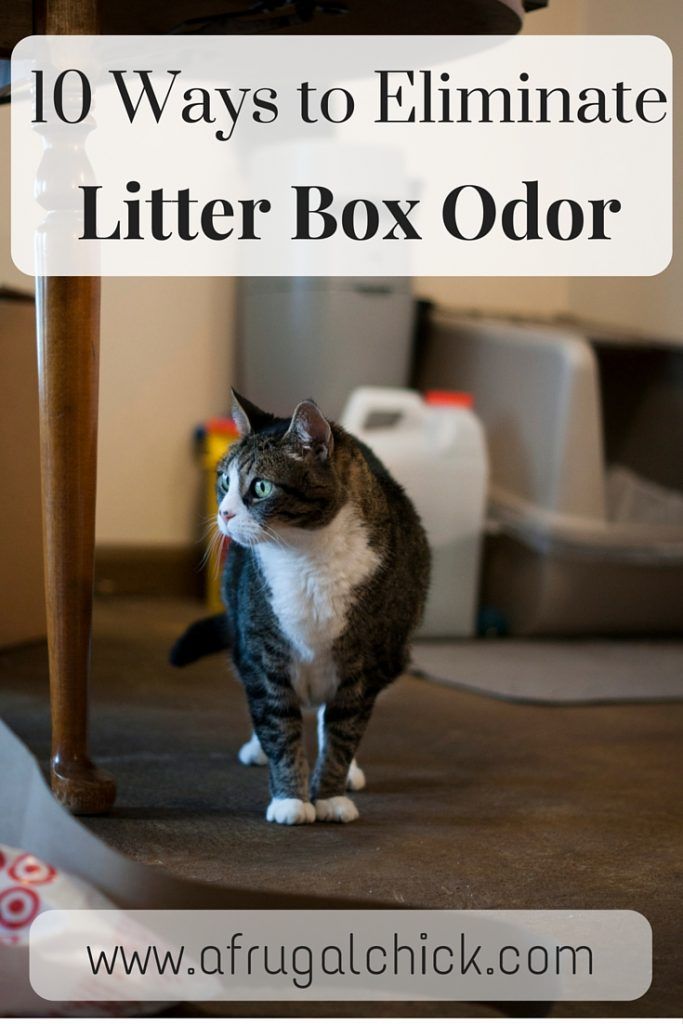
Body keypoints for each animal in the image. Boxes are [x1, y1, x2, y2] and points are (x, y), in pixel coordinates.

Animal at [172, 389, 428, 823]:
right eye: (224, 482)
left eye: (260, 488)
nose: (223, 513)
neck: (305, 559)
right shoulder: (263, 651)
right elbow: (278, 725)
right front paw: (290, 799)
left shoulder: (364, 664)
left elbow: (342, 732)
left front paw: (330, 796)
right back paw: (257, 749)